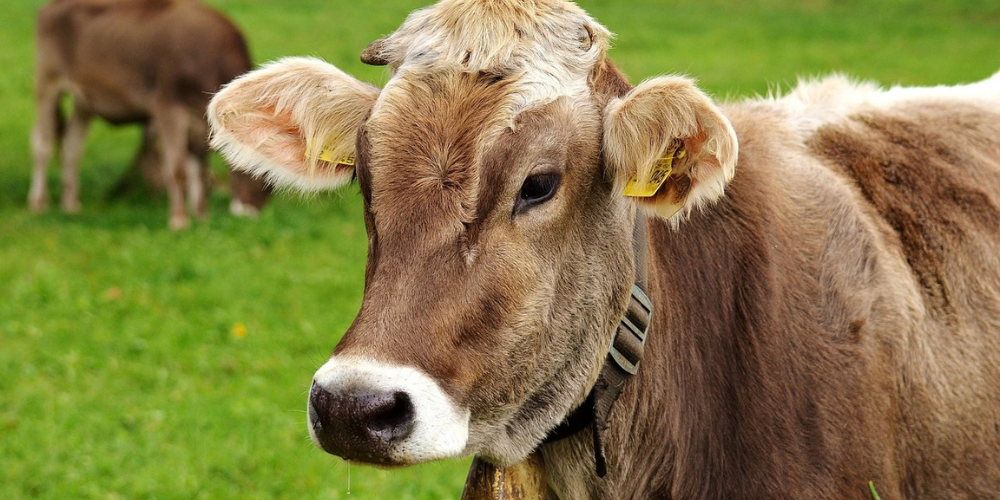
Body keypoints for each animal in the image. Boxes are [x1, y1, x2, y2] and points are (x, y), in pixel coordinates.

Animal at [30, 0, 271, 229]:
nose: (251, 213)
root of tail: (51, 7)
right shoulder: (168, 108)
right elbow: (177, 168)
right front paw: (179, 220)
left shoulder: (199, 121)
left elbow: (199, 170)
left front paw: (201, 216)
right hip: (48, 84)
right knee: (42, 143)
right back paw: (38, 202)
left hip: (84, 101)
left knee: (73, 147)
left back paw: (70, 204)